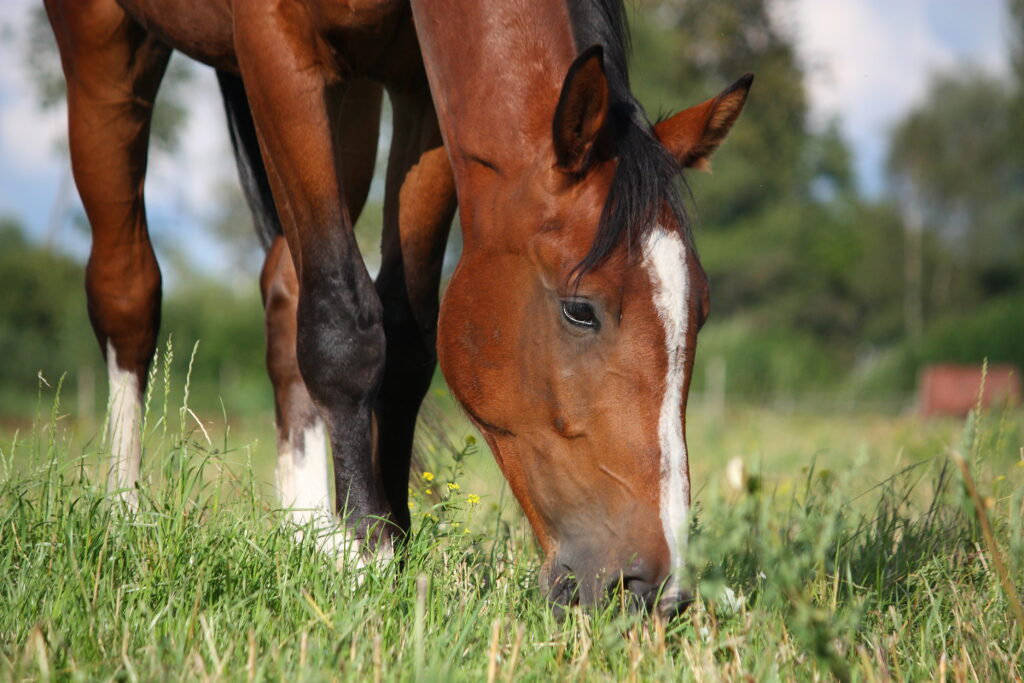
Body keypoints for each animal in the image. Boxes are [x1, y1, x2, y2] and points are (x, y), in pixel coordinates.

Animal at [45, 0, 750, 618]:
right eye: (581, 310)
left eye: (701, 311)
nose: (658, 590)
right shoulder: (275, 45)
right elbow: (344, 327)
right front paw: (366, 559)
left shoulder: (423, 96)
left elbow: (407, 336)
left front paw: (387, 541)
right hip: (108, 46)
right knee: (128, 289)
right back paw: (125, 514)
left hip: (349, 102)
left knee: (286, 286)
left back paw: (306, 532)